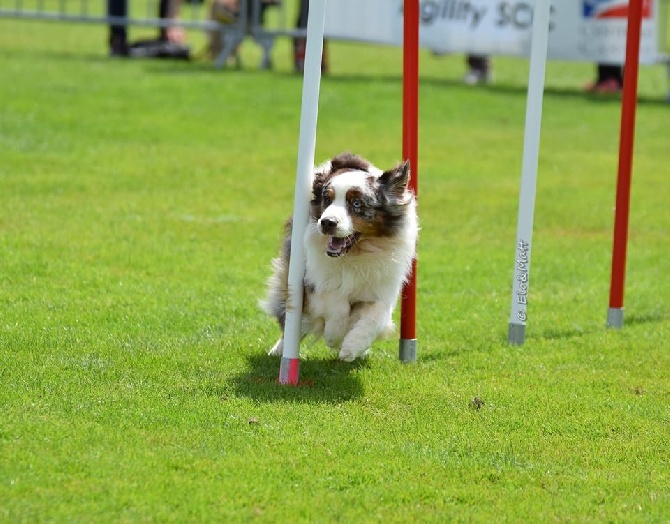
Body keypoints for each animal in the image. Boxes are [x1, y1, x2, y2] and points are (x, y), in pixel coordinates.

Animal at [262, 154, 420, 362]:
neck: (355, 254)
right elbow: (336, 303)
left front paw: (351, 347)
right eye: (327, 199)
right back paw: (279, 351)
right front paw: (334, 336)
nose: (327, 222)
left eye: (356, 203)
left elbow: (377, 317)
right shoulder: (315, 280)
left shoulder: (382, 288)